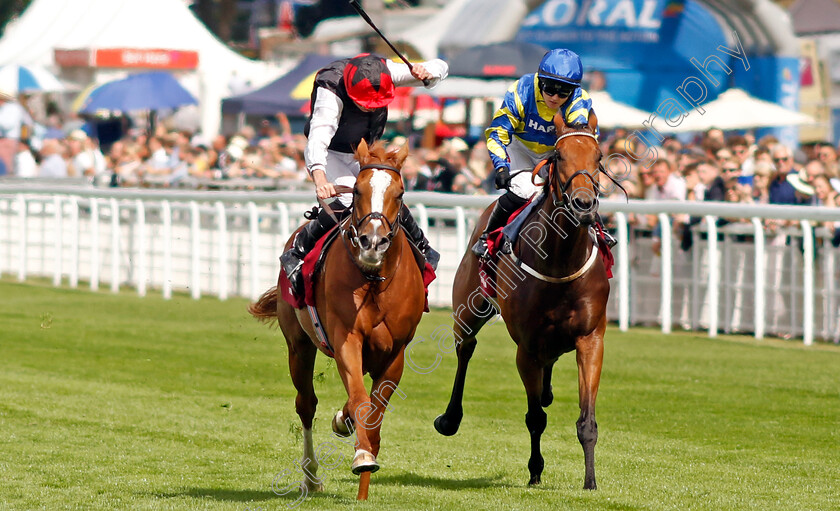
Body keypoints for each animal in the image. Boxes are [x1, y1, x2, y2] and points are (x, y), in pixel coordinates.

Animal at [246, 140, 424, 500]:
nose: (373, 242)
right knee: (306, 404)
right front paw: (363, 456)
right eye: (356, 190)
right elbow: (360, 400)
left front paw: (363, 455)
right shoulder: (347, 339)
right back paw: (311, 477)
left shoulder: (395, 352)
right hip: (298, 345)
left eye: (399, 193)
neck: (374, 280)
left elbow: (374, 411)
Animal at [434, 114, 612, 490]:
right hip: (469, 308)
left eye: (599, 155)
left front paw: (590, 481)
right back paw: (450, 418)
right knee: (465, 349)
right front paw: (535, 470)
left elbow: (586, 421)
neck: (560, 261)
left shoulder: (591, 339)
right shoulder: (526, 349)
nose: (583, 205)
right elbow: (535, 418)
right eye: (558, 155)